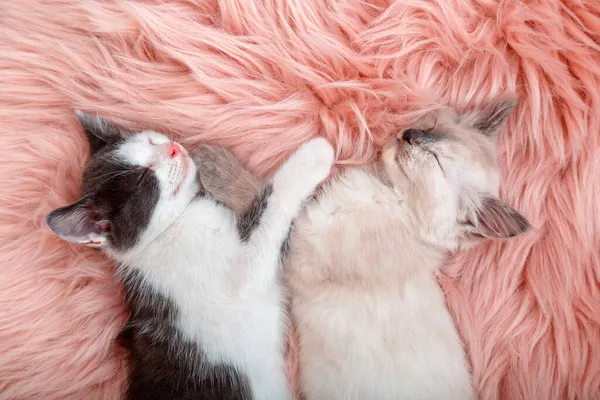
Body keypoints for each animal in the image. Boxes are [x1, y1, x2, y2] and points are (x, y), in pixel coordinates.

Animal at [45, 112, 338, 400]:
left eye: (152, 141)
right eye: (142, 177)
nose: (172, 148)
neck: (173, 225)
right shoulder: (240, 273)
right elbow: (269, 208)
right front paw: (313, 157)